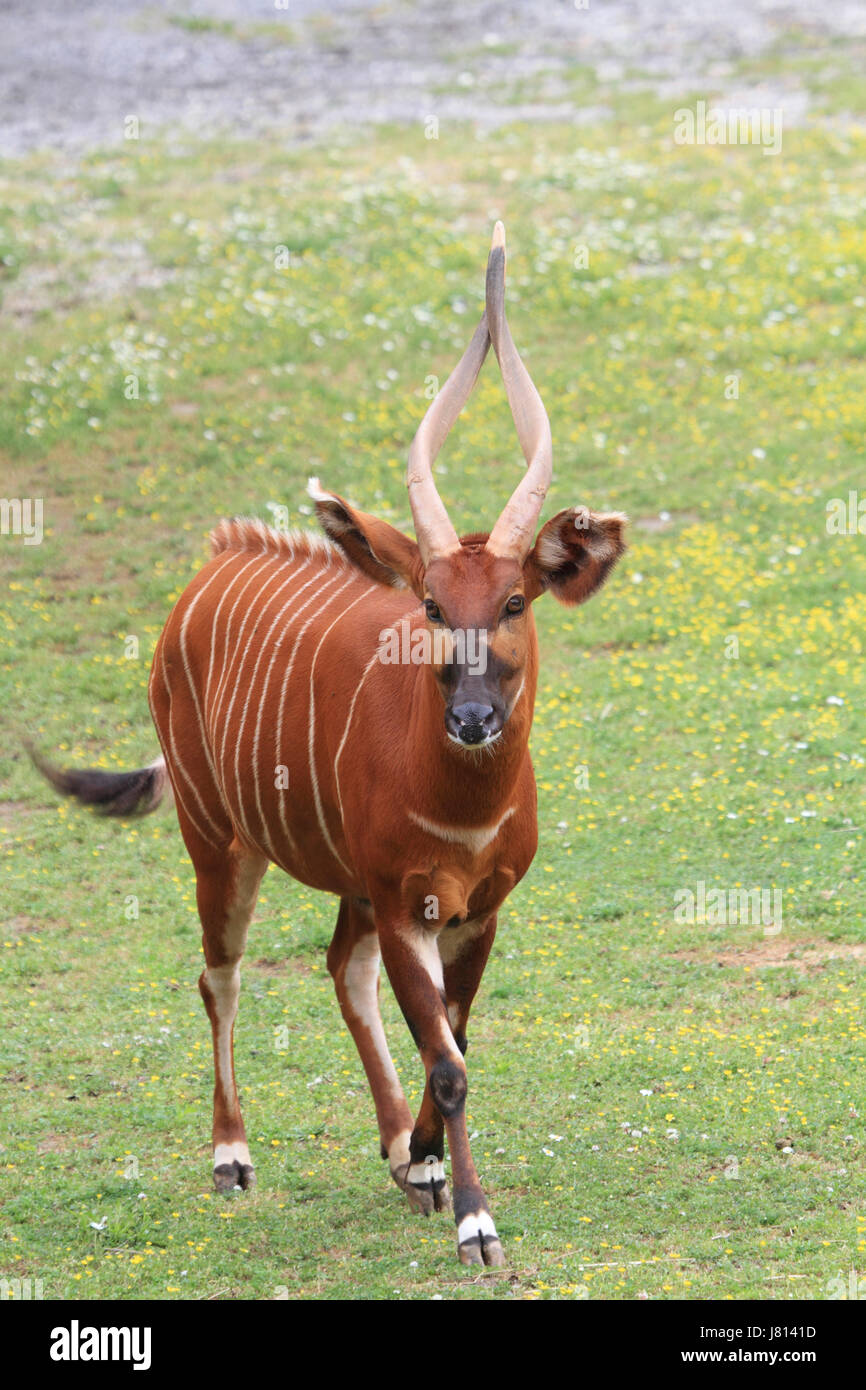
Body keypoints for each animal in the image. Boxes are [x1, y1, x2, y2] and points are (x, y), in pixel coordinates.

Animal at [33, 222, 625, 1267]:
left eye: (516, 600)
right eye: (431, 605)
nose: (474, 719)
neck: (464, 807)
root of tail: (210, 567)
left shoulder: (475, 909)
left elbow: (452, 1040)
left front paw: (425, 1163)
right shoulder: (406, 902)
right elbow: (449, 1060)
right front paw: (476, 1221)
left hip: (341, 882)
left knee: (340, 971)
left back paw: (400, 1154)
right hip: (218, 842)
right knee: (220, 974)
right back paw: (232, 1156)